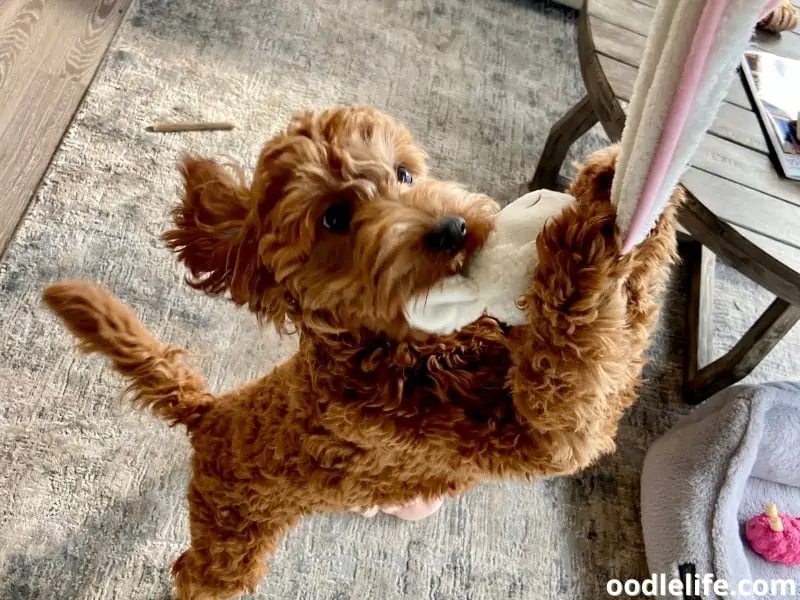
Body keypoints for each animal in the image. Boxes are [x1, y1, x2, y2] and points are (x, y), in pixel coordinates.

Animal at [42, 105, 680, 596]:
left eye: (403, 173)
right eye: (335, 216)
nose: (453, 229)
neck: (404, 350)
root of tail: (210, 415)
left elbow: (632, 330)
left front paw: (622, 190)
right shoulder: (541, 438)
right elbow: (578, 374)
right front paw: (581, 252)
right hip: (231, 534)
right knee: (199, 577)